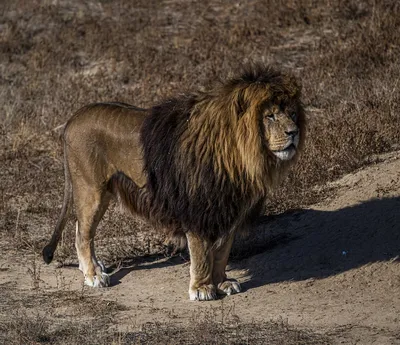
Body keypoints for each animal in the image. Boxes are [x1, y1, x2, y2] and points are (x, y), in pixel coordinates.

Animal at [42, 63, 304, 300]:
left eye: (292, 114)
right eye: (270, 116)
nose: (294, 132)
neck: (239, 158)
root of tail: (73, 118)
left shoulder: (228, 208)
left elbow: (222, 252)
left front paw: (222, 282)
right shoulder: (198, 209)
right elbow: (201, 254)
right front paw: (202, 289)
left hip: (102, 192)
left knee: (83, 229)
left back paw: (96, 267)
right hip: (91, 189)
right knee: (82, 234)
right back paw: (94, 275)